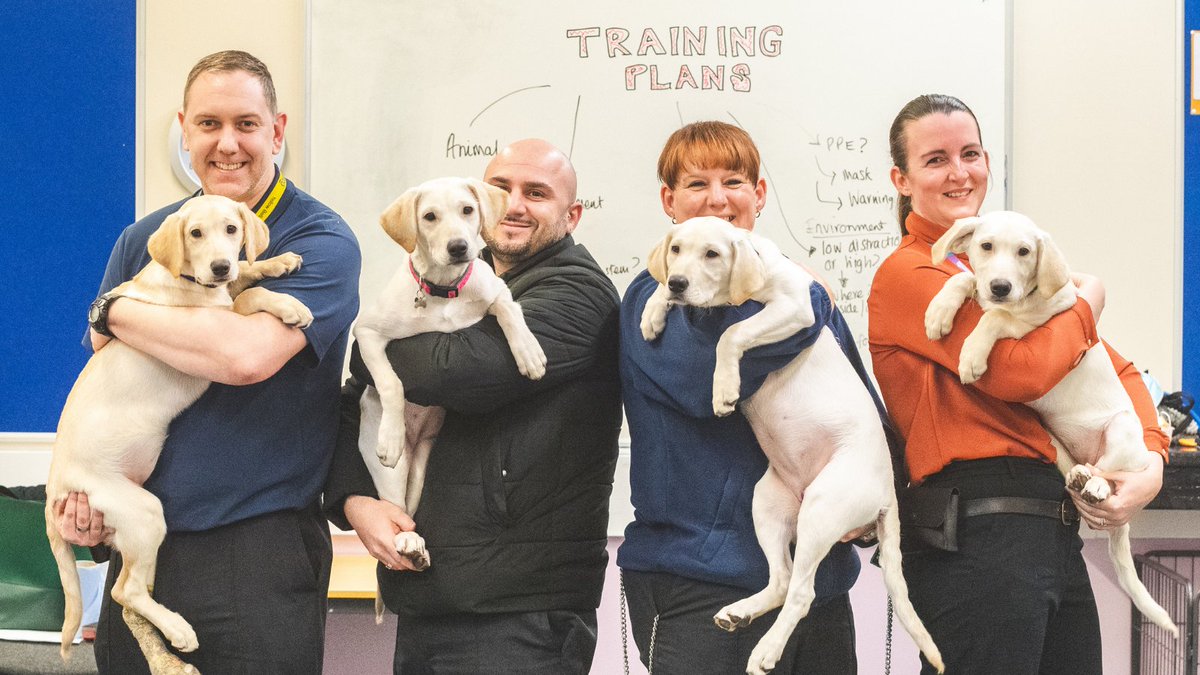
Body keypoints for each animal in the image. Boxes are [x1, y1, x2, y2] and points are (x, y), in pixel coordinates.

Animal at [46, 193, 312, 667]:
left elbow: (247, 277)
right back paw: (178, 630)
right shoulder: (216, 325)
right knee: (125, 590)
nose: (220, 266)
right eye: (195, 234)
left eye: (232, 229)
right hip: (144, 511)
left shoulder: (222, 296)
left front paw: (276, 261)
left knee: (127, 590)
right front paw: (290, 305)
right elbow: (248, 297)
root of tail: (54, 488)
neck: (193, 281)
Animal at [352, 177, 547, 578]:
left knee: (410, 510)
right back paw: (409, 542)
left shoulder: (495, 290)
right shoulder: (366, 332)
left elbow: (509, 311)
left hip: (423, 463)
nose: (459, 247)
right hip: (392, 471)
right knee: (396, 513)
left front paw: (528, 351)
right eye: (429, 217)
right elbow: (391, 382)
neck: (444, 289)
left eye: (468, 210)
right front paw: (391, 434)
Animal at [643, 216, 940, 672]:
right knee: (782, 581)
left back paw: (765, 650)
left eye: (712, 254)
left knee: (801, 593)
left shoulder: (796, 306)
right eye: (675, 249)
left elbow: (732, 331)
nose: (678, 282)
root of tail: (887, 491)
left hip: (821, 509)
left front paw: (723, 389)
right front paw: (651, 313)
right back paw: (739, 612)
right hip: (765, 502)